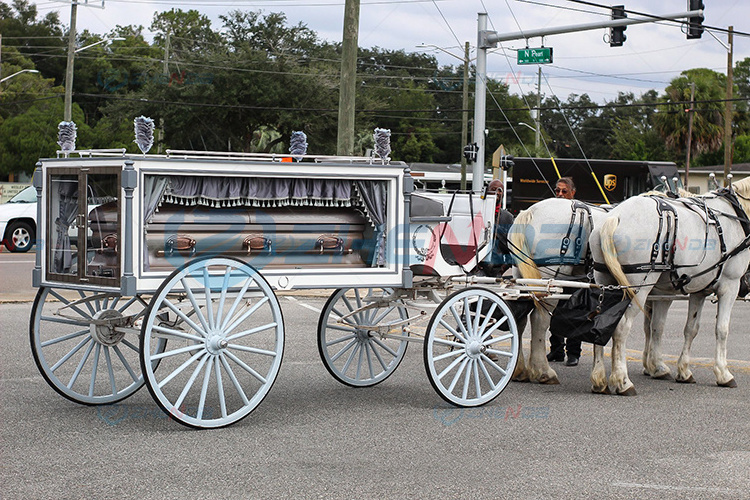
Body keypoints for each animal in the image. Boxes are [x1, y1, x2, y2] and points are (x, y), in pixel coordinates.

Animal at [508, 198, 612, 382]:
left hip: (521, 277)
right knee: (539, 320)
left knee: (519, 320)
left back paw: (520, 369)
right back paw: (543, 371)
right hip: (550, 281)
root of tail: (530, 212)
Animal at [592, 178, 750, 396]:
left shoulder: (698, 291)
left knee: (599, 323)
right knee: (621, 328)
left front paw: (683, 371)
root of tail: (615, 216)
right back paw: (623, 381)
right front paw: (723, 373)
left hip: (605, 283)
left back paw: (599, 380)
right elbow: (722, 329)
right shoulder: (730, 285)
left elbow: (690, 329)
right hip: (638, 288)